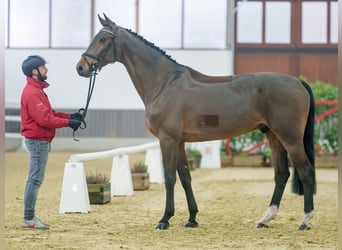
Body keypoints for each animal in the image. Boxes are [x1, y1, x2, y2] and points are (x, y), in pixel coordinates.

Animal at [76, 14, 316, 230]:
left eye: (103, 39)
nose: (81, 67)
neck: (164, 83)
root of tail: (298, 82)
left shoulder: (168, 139)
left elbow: (170, 178)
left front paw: (165, 219)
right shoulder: (180, 142)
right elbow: (185, 177)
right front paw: (192, 218)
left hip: (290, 138)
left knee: (305, 171)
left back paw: (305, 220)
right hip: (273, 136)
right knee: (281, 174)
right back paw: (265, 219)